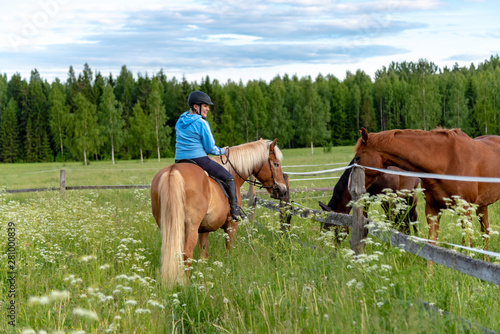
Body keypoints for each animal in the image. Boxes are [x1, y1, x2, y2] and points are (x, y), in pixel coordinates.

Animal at [150, 138, 288, 284]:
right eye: (276, 164)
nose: (283, 190)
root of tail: (173, 171)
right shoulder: (231, 224)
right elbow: (229, 248)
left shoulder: (204, 229)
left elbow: (203, 254)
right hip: (191, 228)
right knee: (186, 254)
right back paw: (184, 284)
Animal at [354, 129, 500, 253]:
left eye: (358, 158)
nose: (352, 179)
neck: (446, 161)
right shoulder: (432, 208)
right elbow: (432, 243)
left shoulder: (465, 210)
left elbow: (467, 246)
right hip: (482, 205)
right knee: (485, 231)